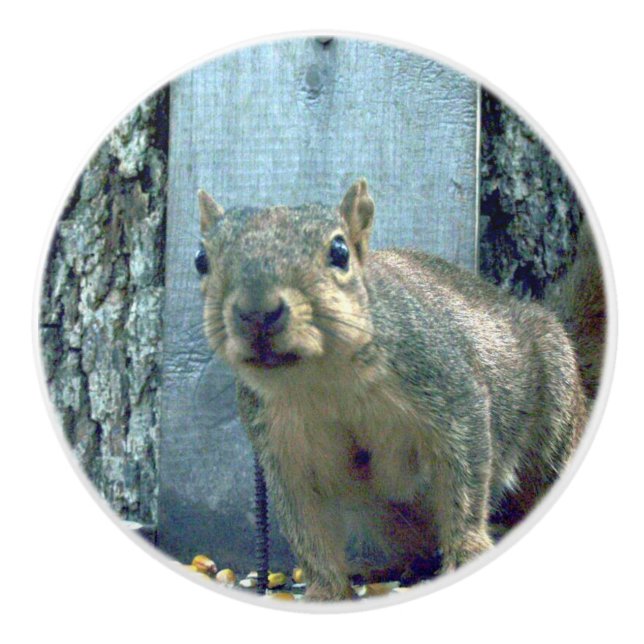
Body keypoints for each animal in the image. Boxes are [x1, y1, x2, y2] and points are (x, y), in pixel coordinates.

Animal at [196, 178, 595, 601]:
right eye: (201, 260)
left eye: (339, 252)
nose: (257, 312)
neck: (324, 380)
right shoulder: (283, 448)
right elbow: (307, 525)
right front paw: (324, 591)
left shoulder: (448, 389)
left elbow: (465, 478)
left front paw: (467, 552)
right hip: (384, 516)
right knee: (415, 549)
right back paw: (383, 568)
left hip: (554, 420)